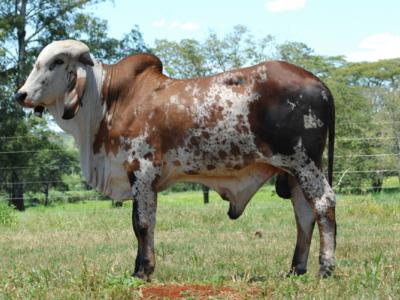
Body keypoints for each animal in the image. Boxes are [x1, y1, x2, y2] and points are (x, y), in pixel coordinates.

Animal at [15, 39, 336, 282]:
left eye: (57, 62)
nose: (21, 94)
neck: (109, 101)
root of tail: (318, 83)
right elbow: (141, 225)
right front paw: (139, 268)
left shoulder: (142, 172)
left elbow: (142, 223)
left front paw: (143, 271)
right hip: (293, 171)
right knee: (303, 214)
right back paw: (296, 269)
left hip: (305, 163)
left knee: (324, 204)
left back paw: (325, 269)